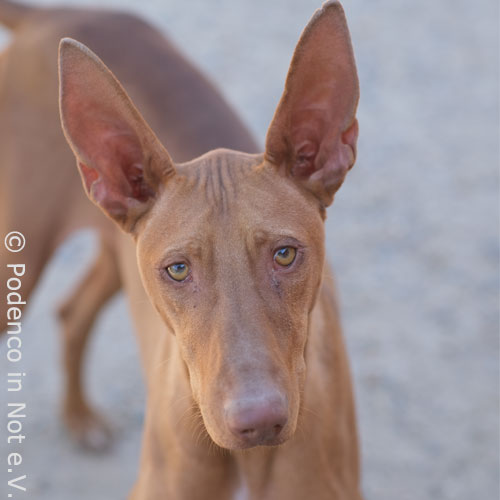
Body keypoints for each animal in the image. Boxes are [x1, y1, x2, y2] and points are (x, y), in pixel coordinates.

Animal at [0, 0, 362, 496]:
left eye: (285, 254)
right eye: (177, 269)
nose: (258, 421)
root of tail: (52, 15)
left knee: (73, 311)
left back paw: (80, 418)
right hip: (21, 263)